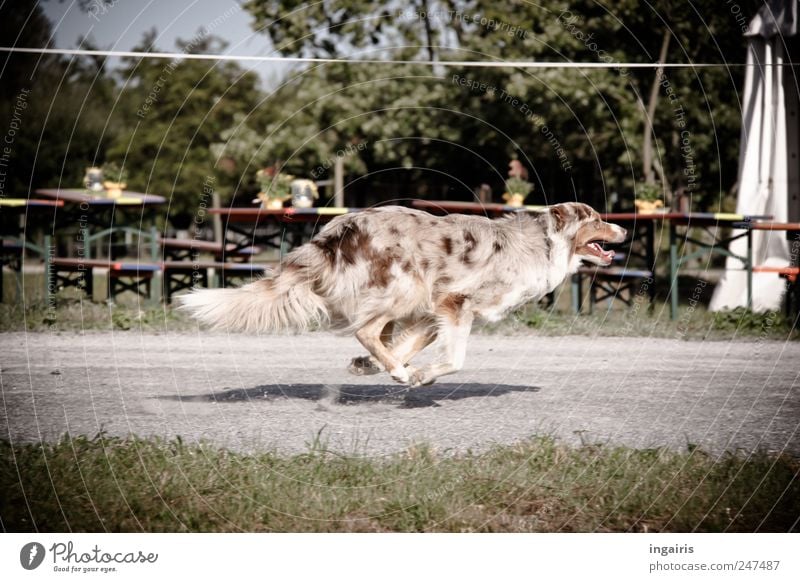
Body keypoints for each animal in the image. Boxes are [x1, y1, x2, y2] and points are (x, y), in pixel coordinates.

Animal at [180, 204, 624, 388]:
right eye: (596, 219)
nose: (622, 230)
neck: (543, 245)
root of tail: (336, 230)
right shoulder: (453, 302)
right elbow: (454, 361)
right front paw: (420, 375)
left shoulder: (434, 312)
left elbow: (410, 344)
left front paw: (374, 367)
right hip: (406, 285)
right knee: (365, 329)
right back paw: (398, 372)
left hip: (408, 295)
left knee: (376, 333)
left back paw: (382, 365)